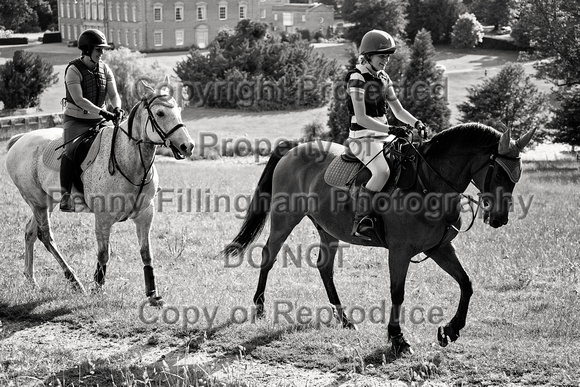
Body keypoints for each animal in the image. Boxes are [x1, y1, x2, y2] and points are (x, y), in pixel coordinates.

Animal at [5, 85, 195, 306]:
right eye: (160, 113)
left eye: (179, 111)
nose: (187, 146)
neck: (129, 161)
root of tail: (21, 139)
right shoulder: (103, 218)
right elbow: (104, 254)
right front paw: (97, 288)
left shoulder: (145, 214)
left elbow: (146, 253)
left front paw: (152, 294)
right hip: (38, 202)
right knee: (45, 236)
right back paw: (74, 281)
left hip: (47, 201)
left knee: (30, 232)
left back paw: (31, 279)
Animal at [222, 124, 536, 354]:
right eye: (499, 172)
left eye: (517, 176)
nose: (499, 219)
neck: (430, 182)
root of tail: (293, 149)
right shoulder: (399, 251)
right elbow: (398, 293)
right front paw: (398, 339)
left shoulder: (440, 247)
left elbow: (466, 283)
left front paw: (451, 329)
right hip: (285, 219)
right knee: (269, 255)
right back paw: (260, 308)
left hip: (328, 230)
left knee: (325, 267)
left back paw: (345, 320)